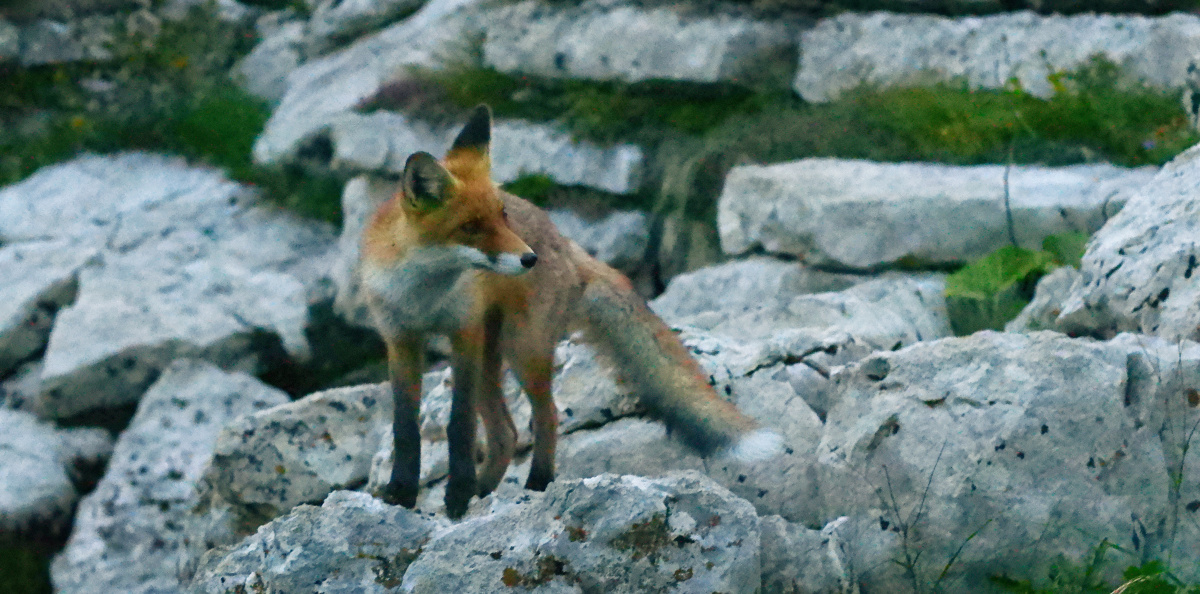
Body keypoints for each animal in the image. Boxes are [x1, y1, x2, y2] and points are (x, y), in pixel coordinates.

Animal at [361, 104, 782, 518]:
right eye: (471, 226)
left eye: (502, 215)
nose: (529, 258)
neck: (425, 295)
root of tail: (562, 240)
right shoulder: (400, 338)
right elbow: (404, 427)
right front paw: (401, 493)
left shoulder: (463, 332)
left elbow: (459, 425)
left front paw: (458, 494)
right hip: (492, 356)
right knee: (506, 434)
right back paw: (485, 490)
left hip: (523, 348)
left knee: (546, 417)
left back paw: (537, 484)